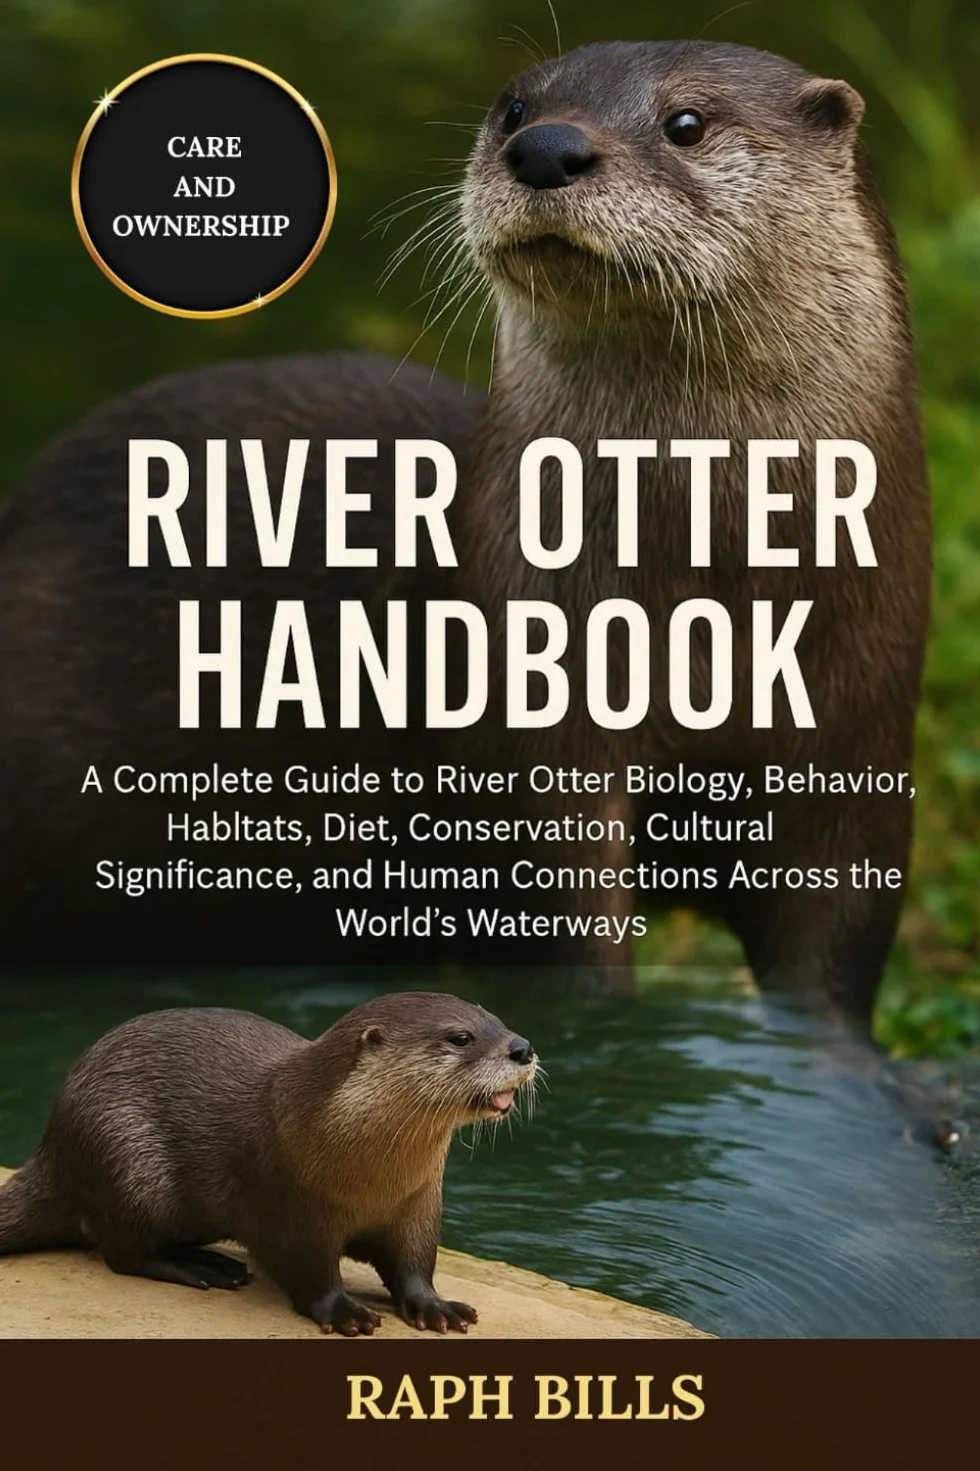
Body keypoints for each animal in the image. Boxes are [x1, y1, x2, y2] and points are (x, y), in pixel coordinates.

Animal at [0, 40, 930, 1022]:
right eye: (515, 108)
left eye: (687, 122)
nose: (547, 148)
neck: (708, 599)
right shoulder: (527, 739)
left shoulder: (859, 747)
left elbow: (835, 940)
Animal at [0, 994, 537, 1335]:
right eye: (461, 1037)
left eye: (497, 1020)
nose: (523, 1047)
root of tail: (53, 1146)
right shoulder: (288, 1206)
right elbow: (309, 1271)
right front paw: (344, 1312)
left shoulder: (419, 1204)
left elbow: (414, 1264)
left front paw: (436, 1307)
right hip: (124, 1158)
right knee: (123, 1252)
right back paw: (204, 1268)